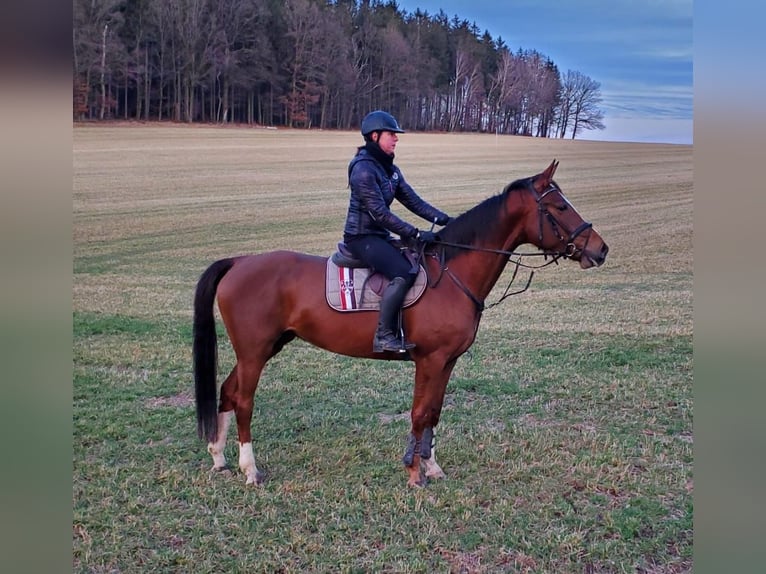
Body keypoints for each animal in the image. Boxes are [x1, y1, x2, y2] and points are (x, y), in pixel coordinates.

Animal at [195, 160, 608, 488]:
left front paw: (432, 466)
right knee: (244, 400)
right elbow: (419, 413)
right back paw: (250, 469)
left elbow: (434, 412)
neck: (452, 274)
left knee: (228, 392)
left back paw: (219, 457)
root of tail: (240, 261)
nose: (600, 249)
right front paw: (413, 472)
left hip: (264, 347)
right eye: (559, 206)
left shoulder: (447, 362)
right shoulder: (429, 360)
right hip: (254, 352)